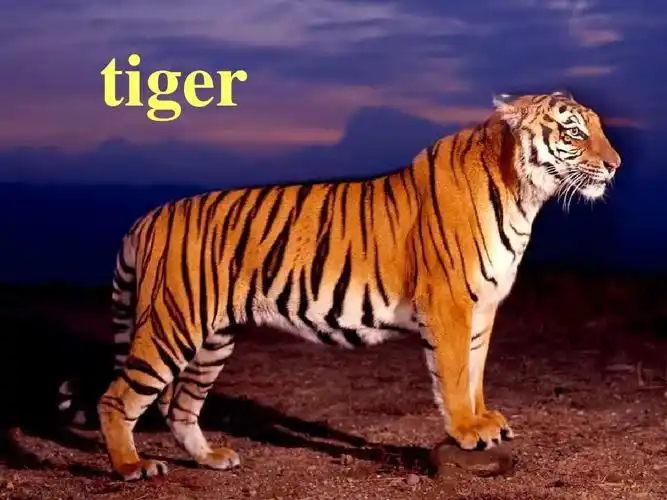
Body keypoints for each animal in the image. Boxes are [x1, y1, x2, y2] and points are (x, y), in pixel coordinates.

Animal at [58, 90, 620, 481]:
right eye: (573, 131)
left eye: (598, 129)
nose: (615, 165)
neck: (525, 195)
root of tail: (147, 217)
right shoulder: (450, 304)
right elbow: (455, 374)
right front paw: (465, 431)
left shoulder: (484, 307)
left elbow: (477, 370)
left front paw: (486, 421)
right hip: (172, 325)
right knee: (118, 398)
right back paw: (132, 467)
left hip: (213, 338)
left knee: (180, 407)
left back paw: (213, 457)